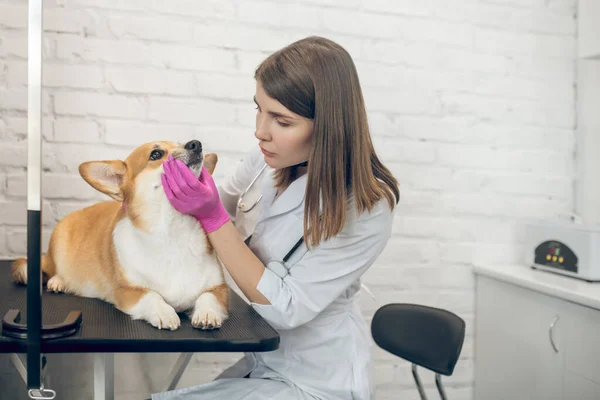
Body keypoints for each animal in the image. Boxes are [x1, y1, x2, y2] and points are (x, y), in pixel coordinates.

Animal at [11, 141, 227, 332]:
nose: (196, 144)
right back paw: (58, 281)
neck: (172, 230)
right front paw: (165, 312)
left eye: (180, 143)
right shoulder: (126, 292)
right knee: (52, 269)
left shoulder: (220, 288)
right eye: (156, 154)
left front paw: (207, 314)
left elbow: (208, 297)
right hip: (57, 246)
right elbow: (152, 295)